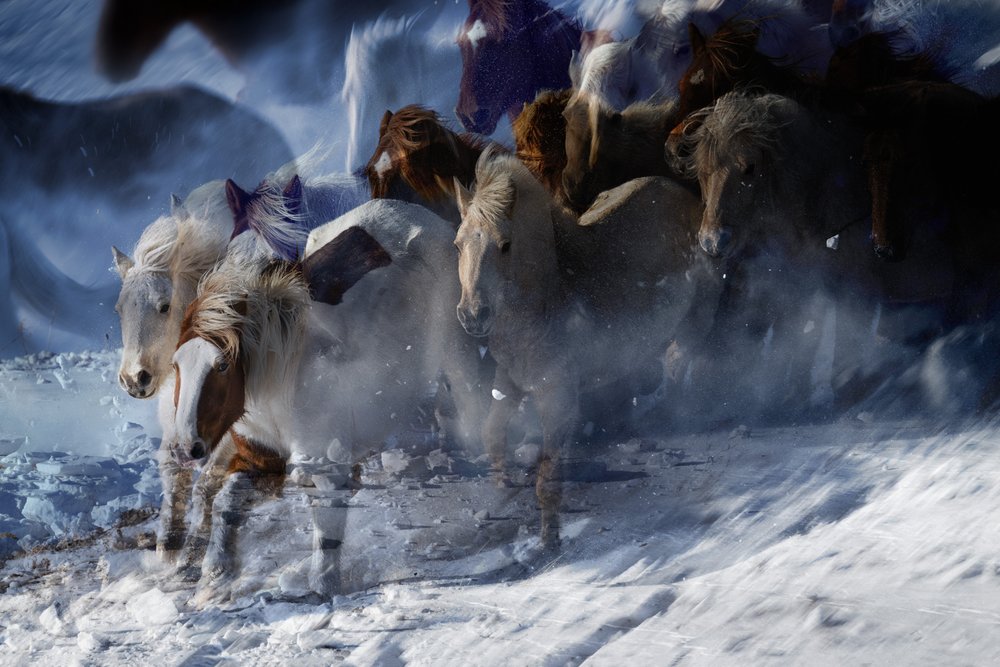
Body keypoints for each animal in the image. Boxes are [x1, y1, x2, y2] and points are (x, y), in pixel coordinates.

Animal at [170, 198, 488, 598]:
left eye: (222, 364)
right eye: (176, 365)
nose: (185, 446)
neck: (284, 382)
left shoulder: (324, 467)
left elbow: (326, 532)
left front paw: (322, 588)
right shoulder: (262, 459)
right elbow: (228, 501)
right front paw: (215, 574)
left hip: (461, 362)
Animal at [453, 147, 720, 551]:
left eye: (505, 245)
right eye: (458, 245)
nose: (472, 315)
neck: (550, 295)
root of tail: (683, 193)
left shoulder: (557, 395)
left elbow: (547, 477)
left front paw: (549, 540)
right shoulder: (510, 382)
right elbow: (492, 434)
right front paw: (501, 485)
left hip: (693, 323)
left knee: (679, 369)